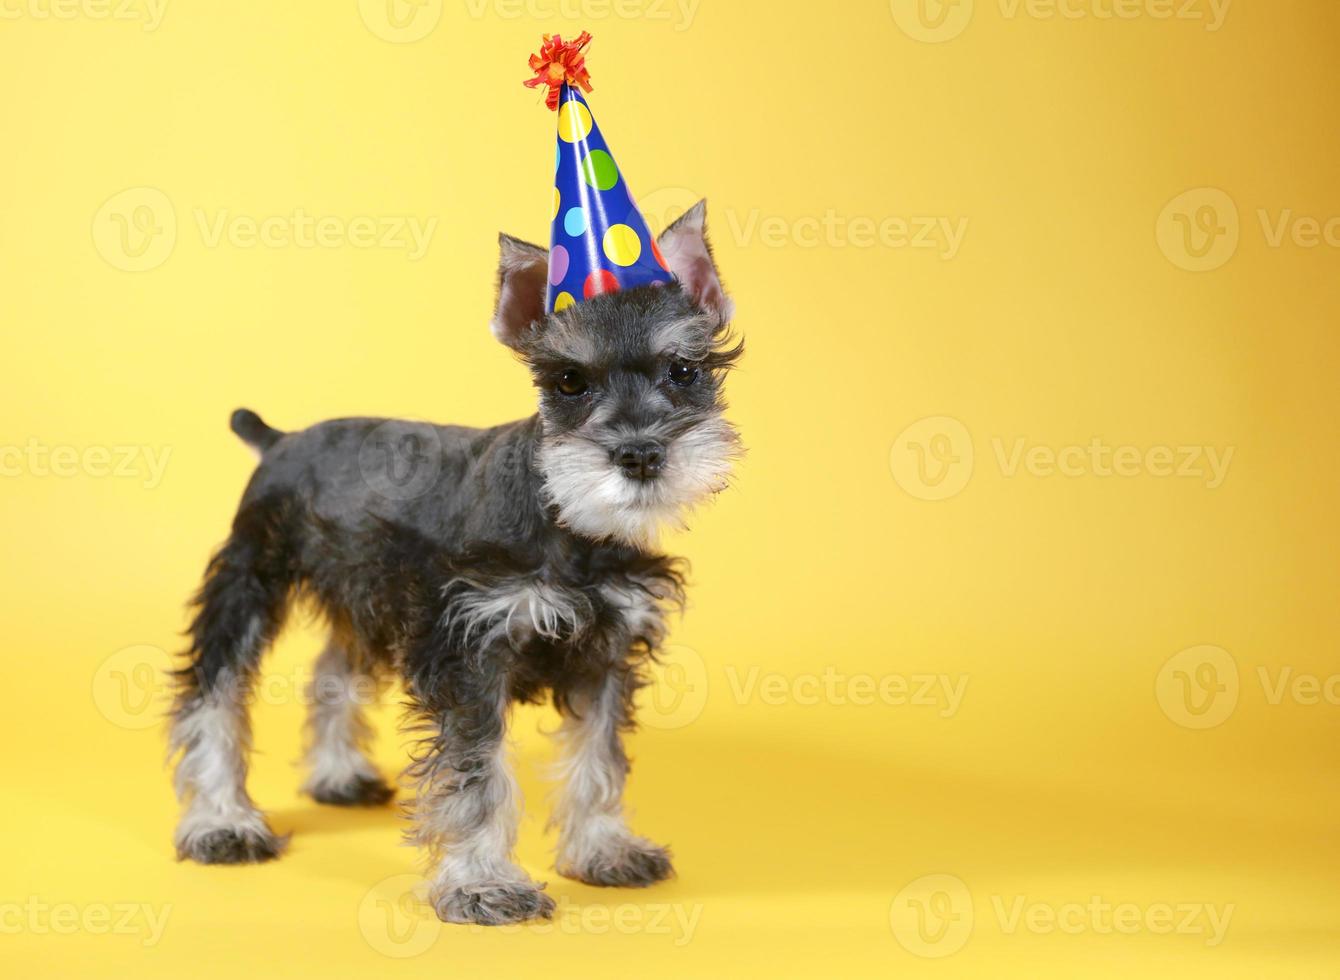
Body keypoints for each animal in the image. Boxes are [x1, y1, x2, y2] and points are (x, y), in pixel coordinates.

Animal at [167, 201, 745, 927]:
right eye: (570, 381)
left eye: (684, 371)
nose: (639, 455)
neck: (569, 523)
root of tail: (280, 440)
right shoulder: (468, 652)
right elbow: (478, 775)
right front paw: (482, 884)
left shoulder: (606, 652)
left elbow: (599, 758)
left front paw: (605, 849)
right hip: (249, 582)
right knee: (212, 695)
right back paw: (223, 824)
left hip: (366, 597)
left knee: (332, 670)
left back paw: (337, 775)